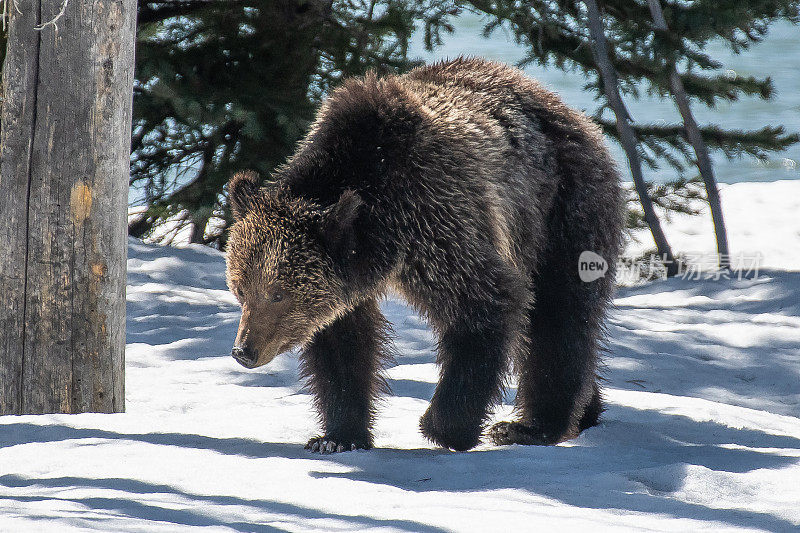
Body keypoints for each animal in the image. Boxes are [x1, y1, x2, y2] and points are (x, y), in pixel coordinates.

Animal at [225, 59, 624, 454]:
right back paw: (587, 409)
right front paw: (338, 436)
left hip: (561, 211)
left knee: (557, 314)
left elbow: (485, 302)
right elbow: (343, 343)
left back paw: (531, 425)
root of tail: (573, 113)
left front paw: (444, 426)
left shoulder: (434, 217)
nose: (244, 350)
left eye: (278, 294)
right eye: (241, 290)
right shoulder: (347, 278)